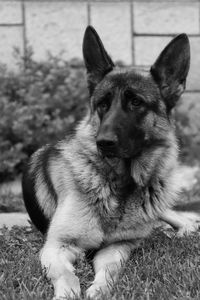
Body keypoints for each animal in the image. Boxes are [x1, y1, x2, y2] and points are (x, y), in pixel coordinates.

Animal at [21, 27, 200, 298]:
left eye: (136, 102)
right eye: (102, 104)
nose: (103, 142)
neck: (120, 185)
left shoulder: (118, 247)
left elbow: (111, 271)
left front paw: (100, 290)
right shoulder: (56, 245)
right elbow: (67, 276)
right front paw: (67, 293)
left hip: (161, 204)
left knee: (183, 220)